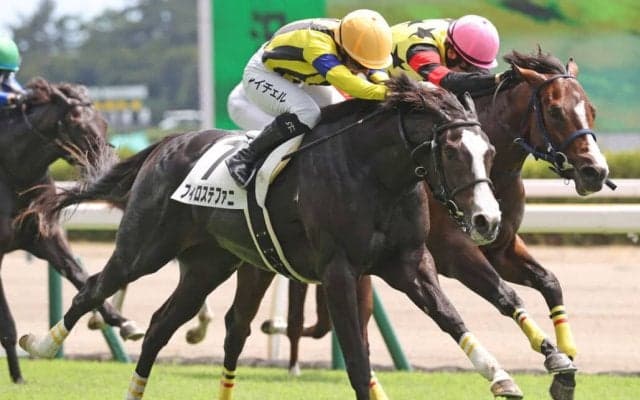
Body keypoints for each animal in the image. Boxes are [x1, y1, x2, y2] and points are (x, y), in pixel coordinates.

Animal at [0, 77, 144, 384]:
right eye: (77, 124)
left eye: (104, 122)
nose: (109, 165)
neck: (12, 173)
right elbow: (6, 324)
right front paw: (18, 378)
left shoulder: (44, 237)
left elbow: (79, 274)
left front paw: (124, 322)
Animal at [17, 75, 518, 400]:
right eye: (451, 152)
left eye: (490, 152)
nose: (487, 220)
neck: (376, 173)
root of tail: (167, 144)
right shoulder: (338, 270)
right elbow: (357, 356)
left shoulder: (409, 262)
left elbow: (451, 318)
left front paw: (502, 379)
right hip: (145, 248)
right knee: (94, 287)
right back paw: (41, 345)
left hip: (208, 264)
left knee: (161, 325)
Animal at [205, 49, 607, 400]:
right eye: (555, 111)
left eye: (591, 110)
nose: (596, 172)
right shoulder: (453, 253)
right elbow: (505, 296)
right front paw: (555, 363)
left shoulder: (499, 244)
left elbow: (548, 283)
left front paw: (564, 359)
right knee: (251, 321)